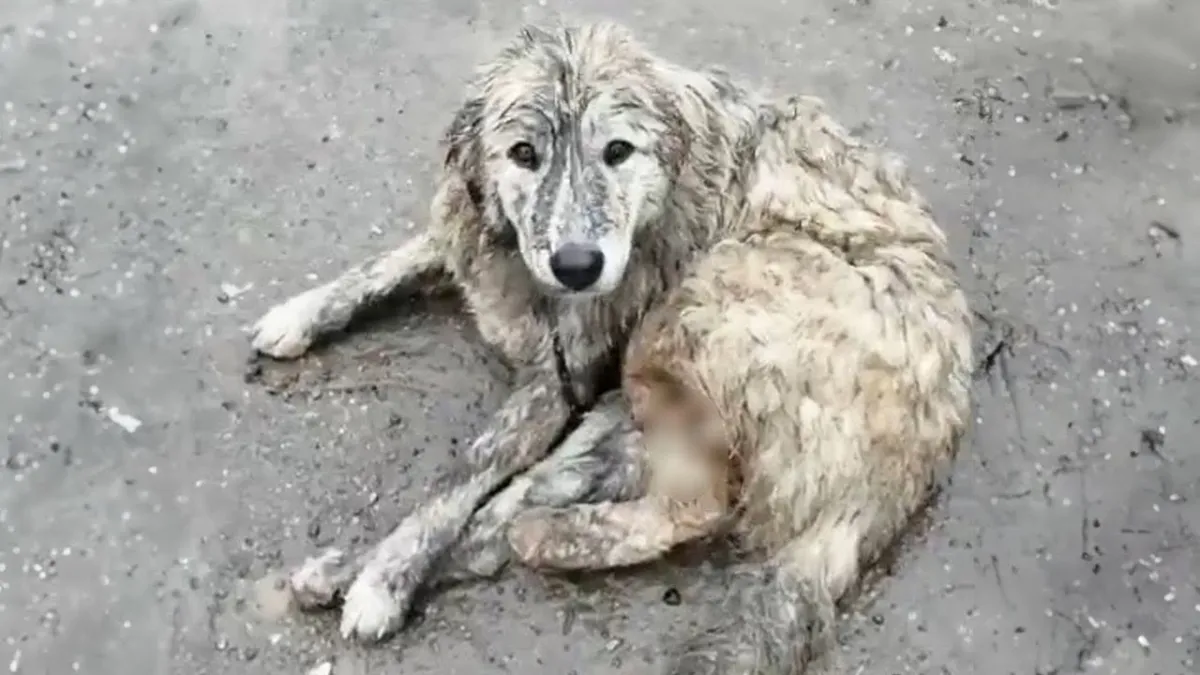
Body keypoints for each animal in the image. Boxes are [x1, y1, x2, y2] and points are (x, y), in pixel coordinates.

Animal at [248, 19, 969, 667]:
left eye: (618, 151)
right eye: (524, 154)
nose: (577, 266)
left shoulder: (553, 381)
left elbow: (460, 473)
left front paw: (389, 576)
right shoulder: (474, 248)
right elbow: (385, 265)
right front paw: (301, 312)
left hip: (692, 307)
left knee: (694, 504)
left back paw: (542, 538)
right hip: (626, 408)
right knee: (524, 504)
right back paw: (375, 560)